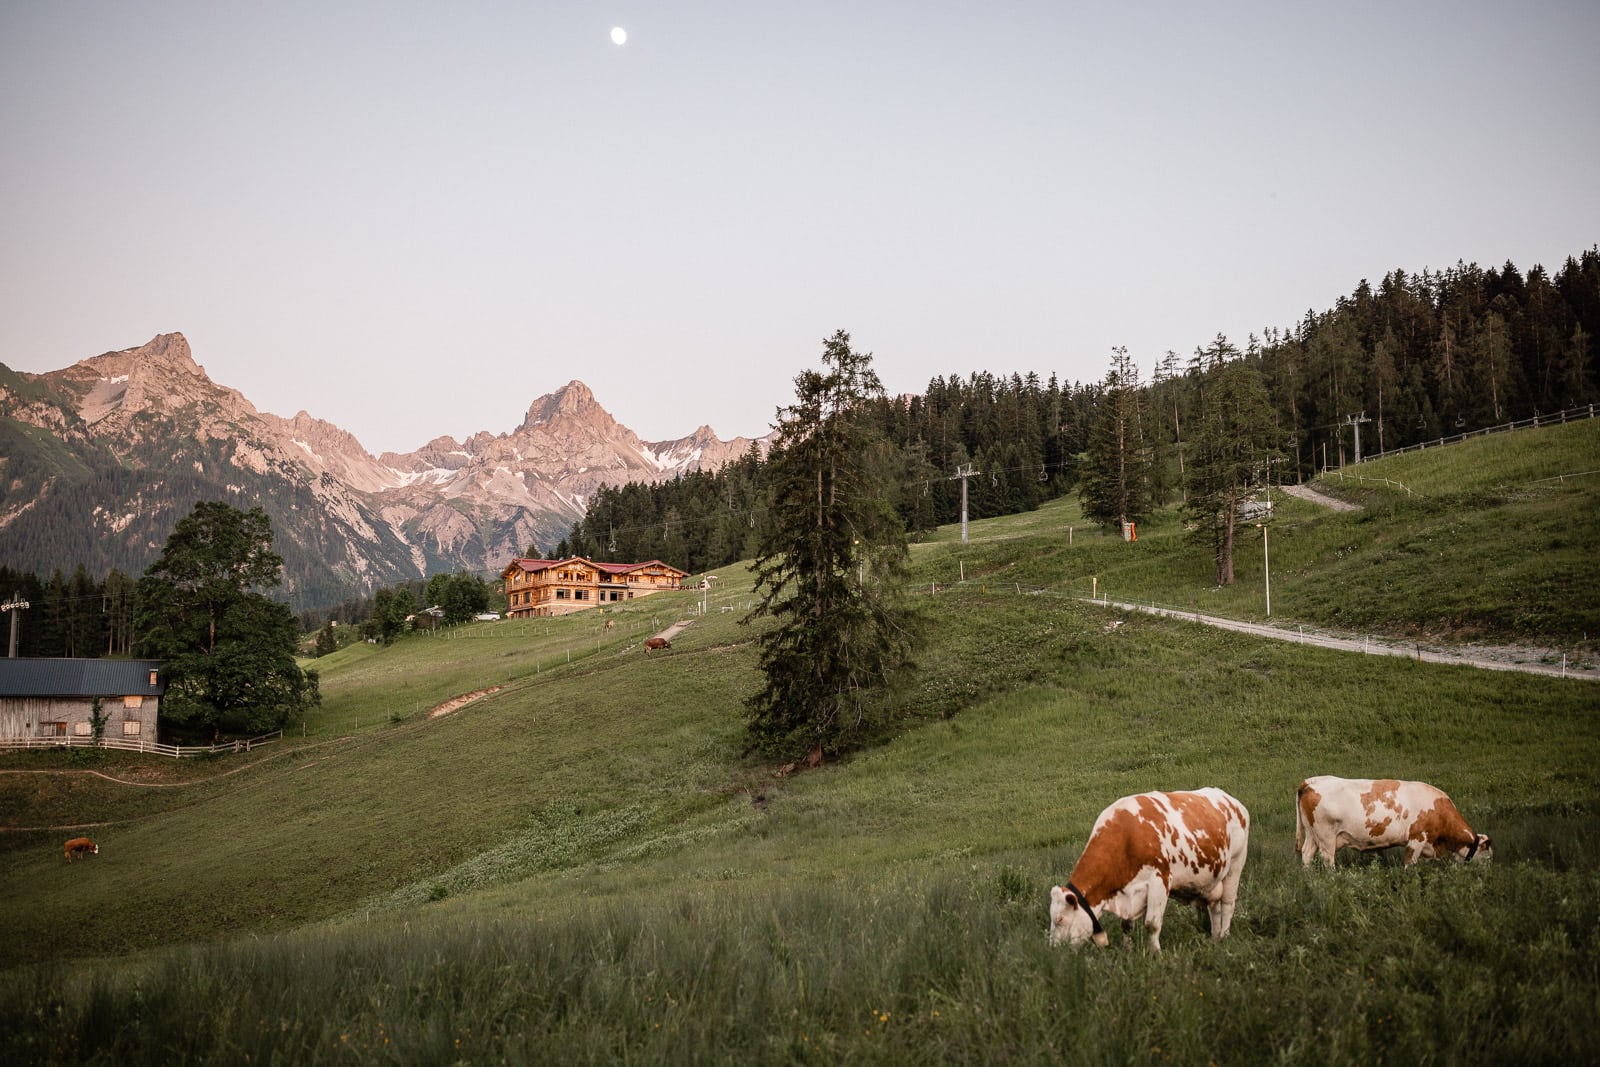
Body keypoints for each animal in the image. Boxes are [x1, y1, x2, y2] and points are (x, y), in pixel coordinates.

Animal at [1043, 790, 1254, 953]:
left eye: (1059, 919)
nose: (1054, 951)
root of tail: (1231, 800)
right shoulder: (1128, 893)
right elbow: (1126, 924)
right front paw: (1127, 950)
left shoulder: (1159, 881)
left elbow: (1152, 924)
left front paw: (1155, 953)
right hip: (1213, 878)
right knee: (1214, 907)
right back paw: (1215, 937)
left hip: (1236, 865)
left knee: (1227, 904)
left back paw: (1225, 936)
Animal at [1292, 777, 1491, 870]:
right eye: (1488, 857)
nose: (1486, 874)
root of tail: (1311, 781)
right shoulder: (1416, 839)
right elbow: (1410, 864)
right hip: (1326, 836)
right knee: (1328, 859)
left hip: (1312, 834)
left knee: (1307, 854)